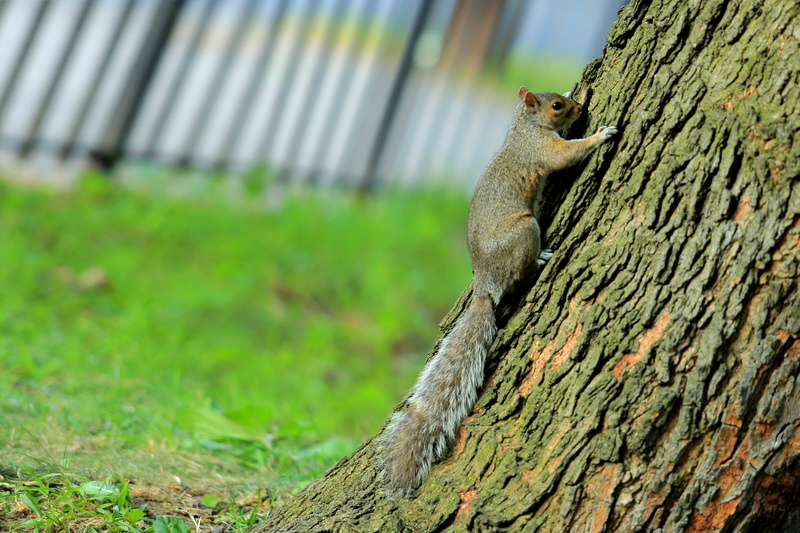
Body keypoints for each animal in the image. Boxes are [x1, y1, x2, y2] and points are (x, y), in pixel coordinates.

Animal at [379, 86, 618, 494]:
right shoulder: (541, 150)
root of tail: (486, 285)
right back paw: (541, 260)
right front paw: (600, 135)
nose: (579, 107)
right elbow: (566, 155)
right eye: (557, 107)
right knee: (521, 274)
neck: (524, 126)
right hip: (525, 230)